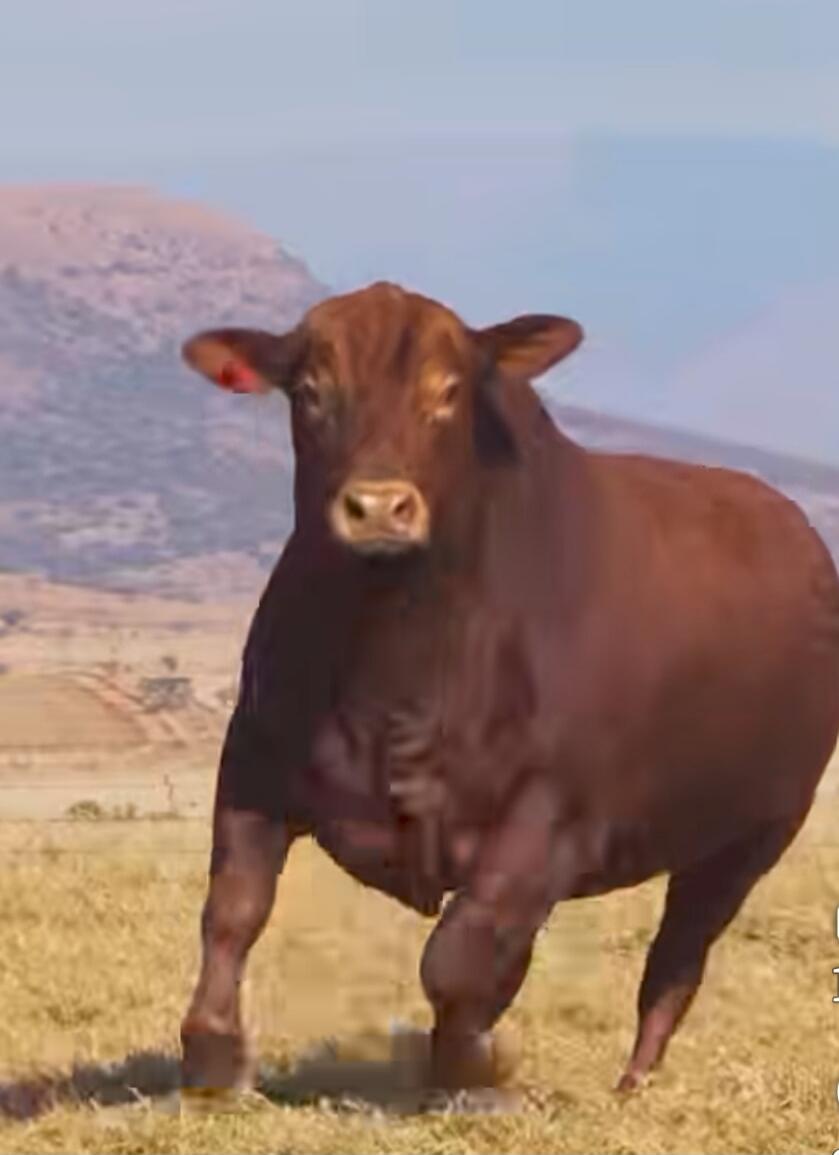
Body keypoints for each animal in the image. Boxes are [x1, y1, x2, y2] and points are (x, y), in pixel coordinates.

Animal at [178, 281, 839, 1099]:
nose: (378, 507)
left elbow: (461, 949)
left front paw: (476, 1065)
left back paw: (630, 1083)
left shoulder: (550, 815)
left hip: (754, 831)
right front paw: (214, 1056)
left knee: (676, 957)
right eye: (310, 391)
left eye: (448, 391)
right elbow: (232, 908)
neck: (395, 663)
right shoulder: (255, 760)